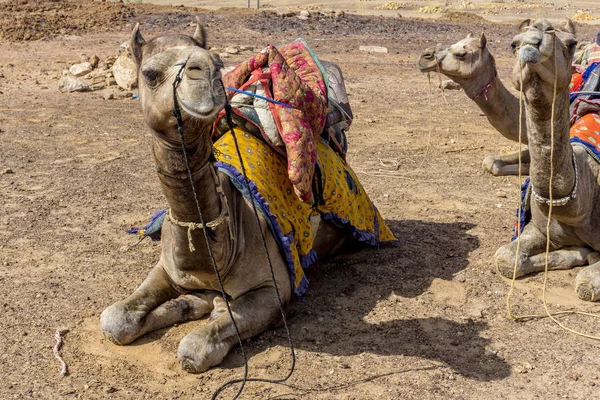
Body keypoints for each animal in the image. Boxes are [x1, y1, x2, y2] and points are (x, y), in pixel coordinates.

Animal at [100, 21, 396, 372]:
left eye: (218, 63)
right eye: (149, 73)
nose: (205, 72)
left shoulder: (275, 288)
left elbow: (194, 349)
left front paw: (206, 311)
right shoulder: (167, 269)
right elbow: (114, 320)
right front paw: (188, 303)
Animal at [492, 18, 600, 300]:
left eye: (571, 44)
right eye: (513, 44)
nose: (536, 36)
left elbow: (587, 284)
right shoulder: (539, 228)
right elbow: (505, 259)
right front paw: (579, 252)